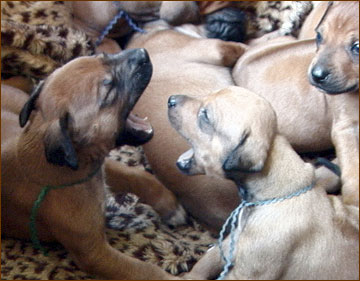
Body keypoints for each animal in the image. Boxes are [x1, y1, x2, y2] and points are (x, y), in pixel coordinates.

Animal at [0, 49, 179, 278]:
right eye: (109, 89)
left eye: (102, 56)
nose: (142, 52)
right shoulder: (95, 255)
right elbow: (146, 270)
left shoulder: (100, 166)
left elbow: (137, 175)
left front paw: (169, 204)